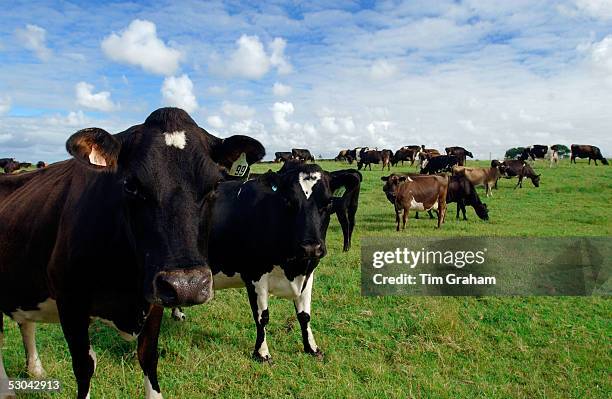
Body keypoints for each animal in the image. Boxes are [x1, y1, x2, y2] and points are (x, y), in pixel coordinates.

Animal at [1, 107, 266, 399]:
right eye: (131, 185)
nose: (187, 285)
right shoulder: (70, 303)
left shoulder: (154, 297)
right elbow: (84, 366)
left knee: (25, 322)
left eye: (215, 185)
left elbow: (148, 357)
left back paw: (35, 370)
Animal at [171, 162, 364, 362]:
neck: (292, 267)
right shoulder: (254, 275)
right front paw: (262, 353)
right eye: (289, 202)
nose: (311, 247)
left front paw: (312, 348)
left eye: (328, 203)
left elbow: (305, 315)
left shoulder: (308, 273)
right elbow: (262, 317)